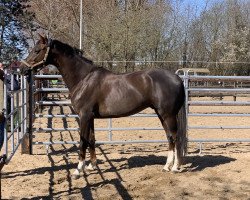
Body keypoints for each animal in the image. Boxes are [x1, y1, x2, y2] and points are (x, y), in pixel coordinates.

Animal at [20, 35, 187, 179]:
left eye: (37, 50)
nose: (22, 69)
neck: (83, 78)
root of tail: (177, 78)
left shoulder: (84, 116)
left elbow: (83, 141)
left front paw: (78, 170)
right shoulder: (90, 117)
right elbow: (91, 140)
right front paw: (91, 166)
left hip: (168, 115)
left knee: (175, 137)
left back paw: (174, 167)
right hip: (161, 114)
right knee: (169, 137)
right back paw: (167, 166)